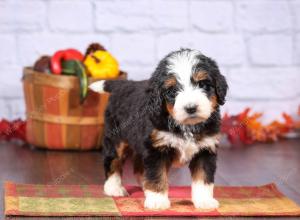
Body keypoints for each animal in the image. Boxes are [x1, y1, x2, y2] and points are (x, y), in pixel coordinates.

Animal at [89, 48, 227, 210]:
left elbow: (203, 177)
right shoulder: (157, 149)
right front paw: (157, 200)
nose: (191, 108)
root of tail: (123, 85)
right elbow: (157, 175)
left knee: (139, 167)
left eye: (203, 85)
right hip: (116, 137)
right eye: (172, 91)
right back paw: (114, 188)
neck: (186, 126)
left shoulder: (205, 149)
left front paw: (204, 201)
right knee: (113, 160)